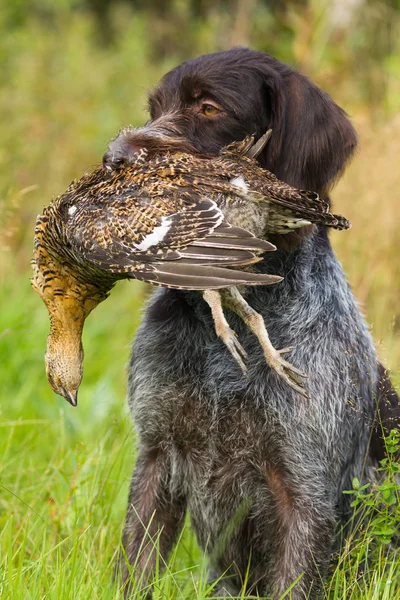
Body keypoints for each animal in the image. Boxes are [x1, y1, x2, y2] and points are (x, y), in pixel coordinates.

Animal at [104, 48, 400, 600]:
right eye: (155, 108)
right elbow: (136, 563)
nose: (115, 156)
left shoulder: (302, 491)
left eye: (209, 108)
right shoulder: (156, 456)